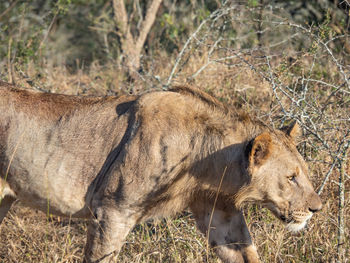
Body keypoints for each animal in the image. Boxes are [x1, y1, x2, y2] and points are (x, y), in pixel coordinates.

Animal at [0, 81, 322, 262]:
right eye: (291, 177)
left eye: (303, 172)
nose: (316, 209)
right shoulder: (112, 211)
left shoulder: (220, 214)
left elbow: (245, 253)